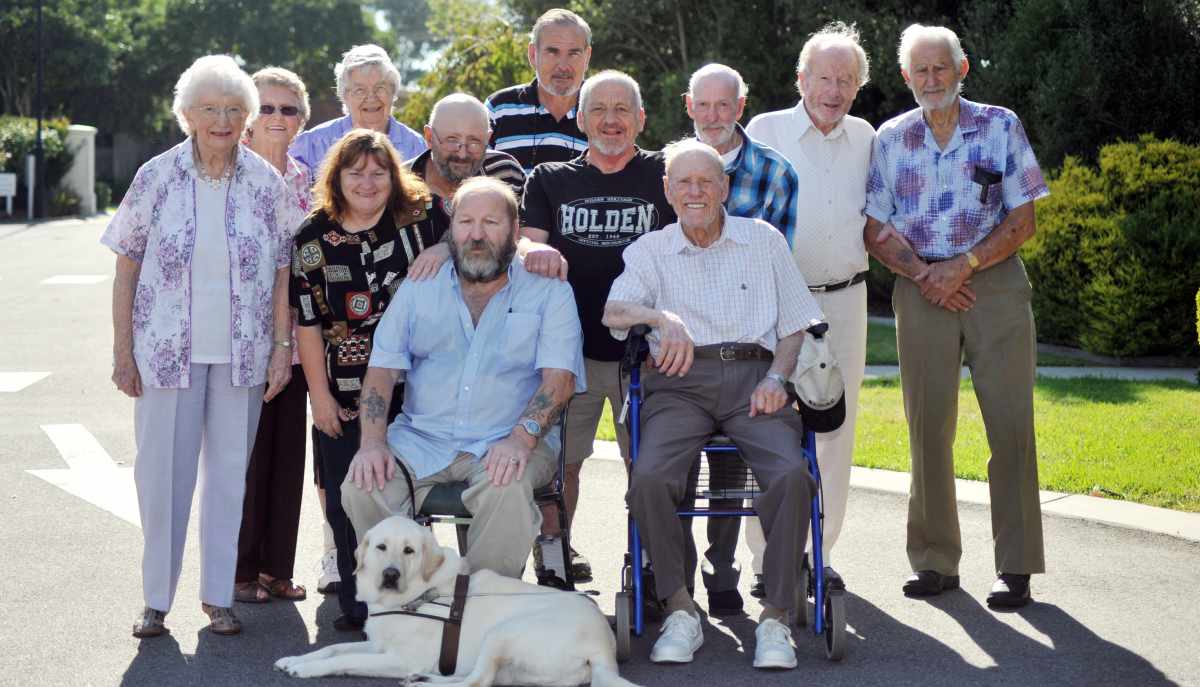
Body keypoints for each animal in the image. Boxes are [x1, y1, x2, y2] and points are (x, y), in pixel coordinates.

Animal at [275, 516, 641, 687]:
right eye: (381, 547)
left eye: (409, 550)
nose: (391, 574)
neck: (417, 594)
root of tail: (606, 649)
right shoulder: (379, 645)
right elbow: (334, 648)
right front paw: (295, 658)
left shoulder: (400, 658)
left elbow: (344, 659)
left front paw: (307, 669)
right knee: (478, 679)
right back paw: (424, 679)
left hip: (503, 632)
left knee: (476, 681)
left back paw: (424, 681)